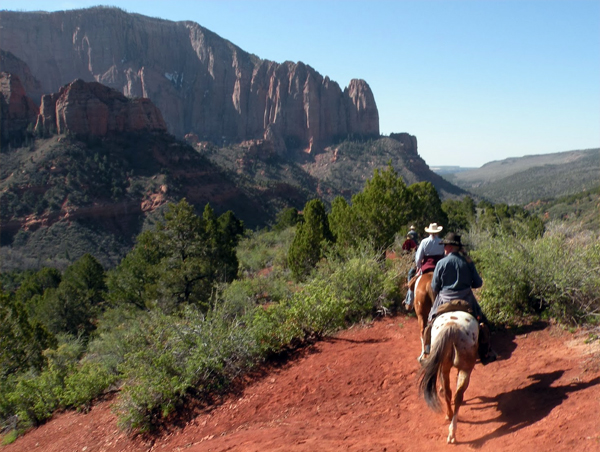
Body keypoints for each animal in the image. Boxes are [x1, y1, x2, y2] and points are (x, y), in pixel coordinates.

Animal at [418, 310, 478, 444]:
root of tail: (453, 327)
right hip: (464, 369)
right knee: (457, 394)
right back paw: (451, 428)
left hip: (448, 366)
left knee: (450, 393)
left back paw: (451, 426)